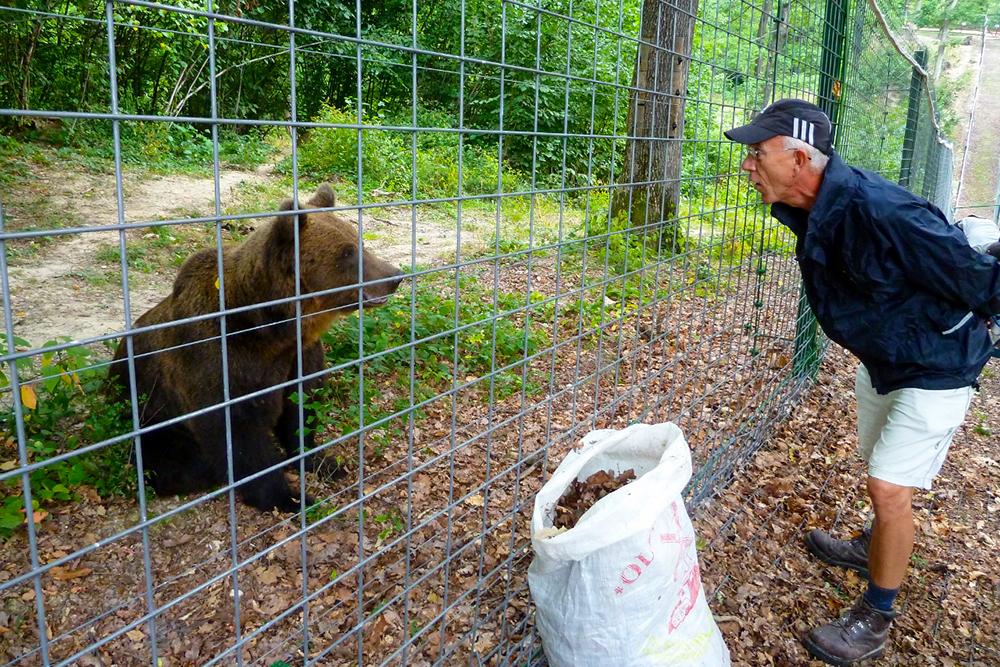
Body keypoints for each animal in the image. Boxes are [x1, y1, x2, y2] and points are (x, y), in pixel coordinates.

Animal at [109, 184, 403, 512]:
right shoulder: (220, 362)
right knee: (170, 462)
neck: (272, 330)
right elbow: (239, 436)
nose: (394, 276)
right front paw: (289, 497)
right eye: (347, 252)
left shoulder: (298, 356)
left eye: (359, 242)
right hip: (149, 414)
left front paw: (324, 462)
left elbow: (300, 409)